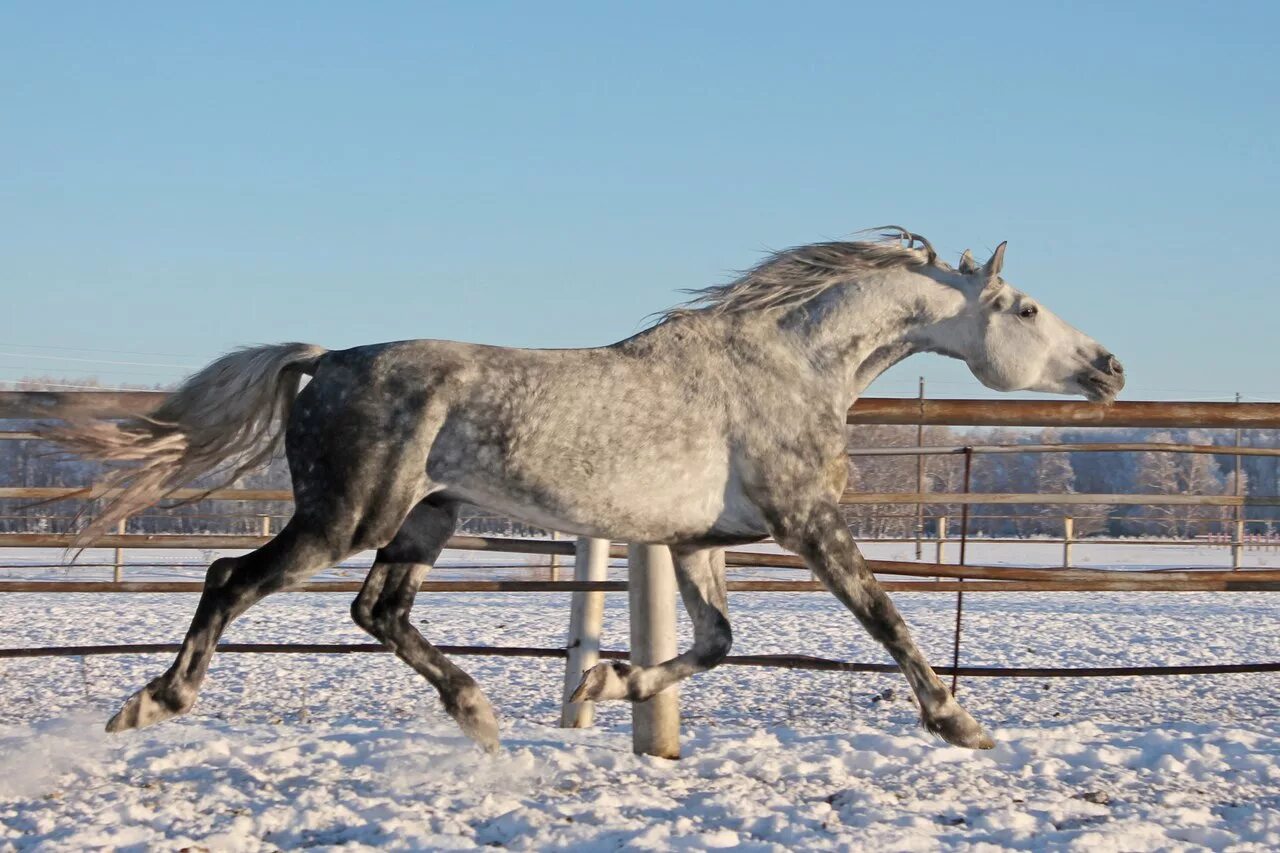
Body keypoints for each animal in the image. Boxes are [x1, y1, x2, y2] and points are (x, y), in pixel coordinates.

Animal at [42, 225, 1121, 753]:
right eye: (1025, 308)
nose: (1108, 367)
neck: (783, 363)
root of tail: (327, 361)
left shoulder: (694, 540)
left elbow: (717, 641)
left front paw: (603, 680)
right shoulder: (805, 522)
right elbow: (884, 618)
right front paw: (960, 722)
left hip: (425, 516)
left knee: (379, 610)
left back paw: (478, 714)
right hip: (345, 515)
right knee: (231, 577)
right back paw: (152, 703)